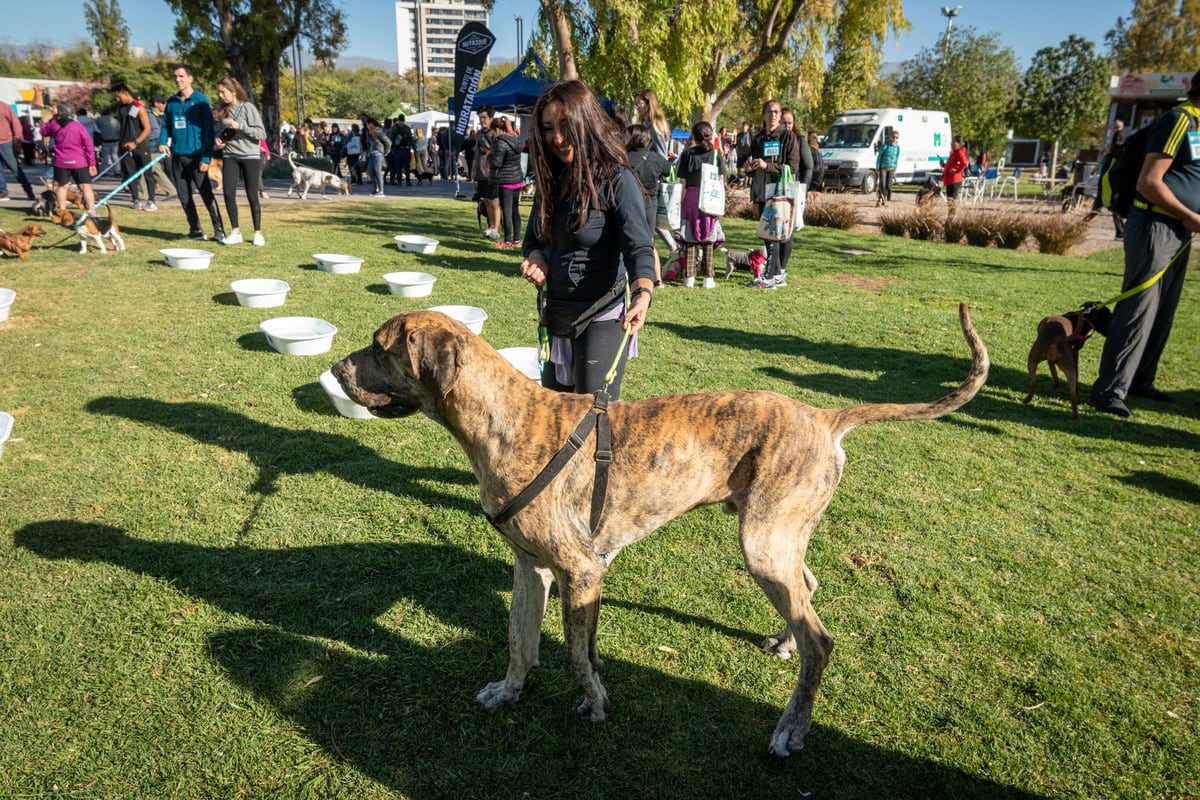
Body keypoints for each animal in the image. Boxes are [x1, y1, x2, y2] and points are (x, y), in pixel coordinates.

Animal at [333, 304, 988, 758]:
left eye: (379, 346)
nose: (337, 368)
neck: (506, 420)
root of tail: (823, 416)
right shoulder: (531, 567)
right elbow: (520, 639)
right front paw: (509, 692)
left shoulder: (581, 571)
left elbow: (576, 654)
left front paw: (594, 705)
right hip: (776, 537)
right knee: (809, 591)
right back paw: (786, 644)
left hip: (762, 544)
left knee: (821, 639)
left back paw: (790, 729)